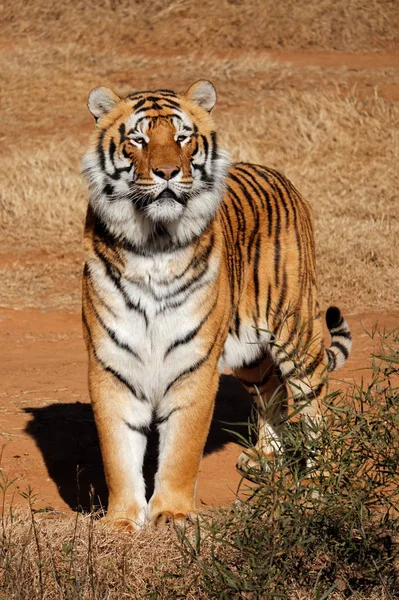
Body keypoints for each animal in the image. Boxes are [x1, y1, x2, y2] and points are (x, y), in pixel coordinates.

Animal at [82, 79, 354, 528]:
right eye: (138, 140)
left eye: (182, 138)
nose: (168, 172)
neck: (153, 241)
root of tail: (277, 173)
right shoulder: (111, 361)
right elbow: (117, 450)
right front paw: (121, 521)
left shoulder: (194, 363)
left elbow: (182, 449)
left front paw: (172, 515)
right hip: (250, 355)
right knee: (272, 392)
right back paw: (265, 457)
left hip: (296, 331)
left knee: (314, 407)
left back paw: (320, 483)